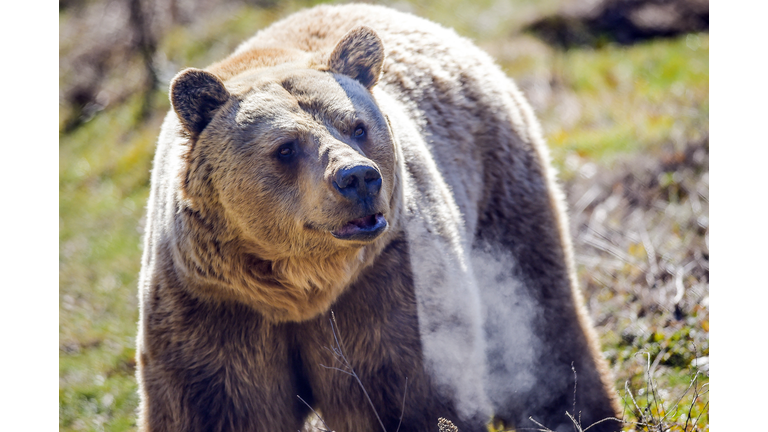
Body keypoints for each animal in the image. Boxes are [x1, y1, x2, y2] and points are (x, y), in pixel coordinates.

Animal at [135, 4, 620, 432]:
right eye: (286, 147)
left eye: (357, 126)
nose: (358, 178)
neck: (302, 289)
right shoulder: (212, 308)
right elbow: (216, 408)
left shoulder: (387, 284)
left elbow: (414, 395)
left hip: (500, 196)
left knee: (540, 323)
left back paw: (582, 417)